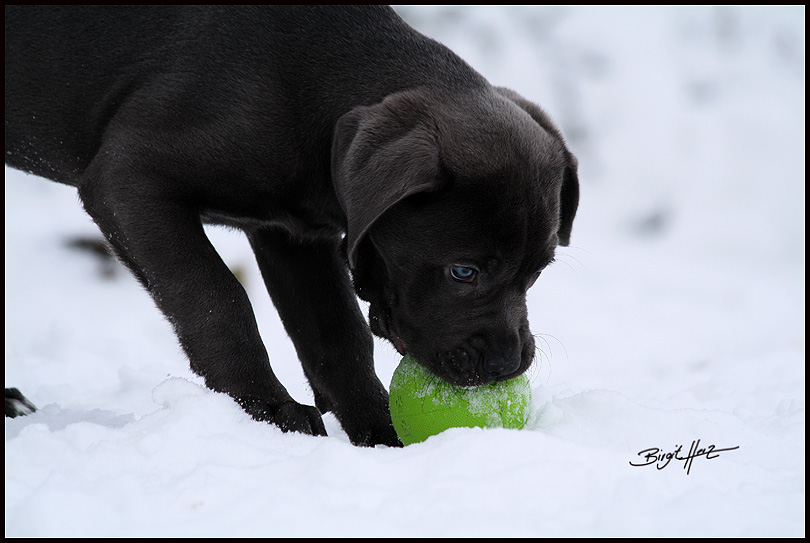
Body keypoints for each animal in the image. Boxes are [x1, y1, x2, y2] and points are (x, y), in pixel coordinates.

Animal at [3, 5, 576, 446]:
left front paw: (380, 431)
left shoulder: (296, 237)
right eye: (463, 272)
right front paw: (268, 411)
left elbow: (338, 334)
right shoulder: (128, 180)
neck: (307, 91)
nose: (508, 364)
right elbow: (216, 297)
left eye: (538, 273)